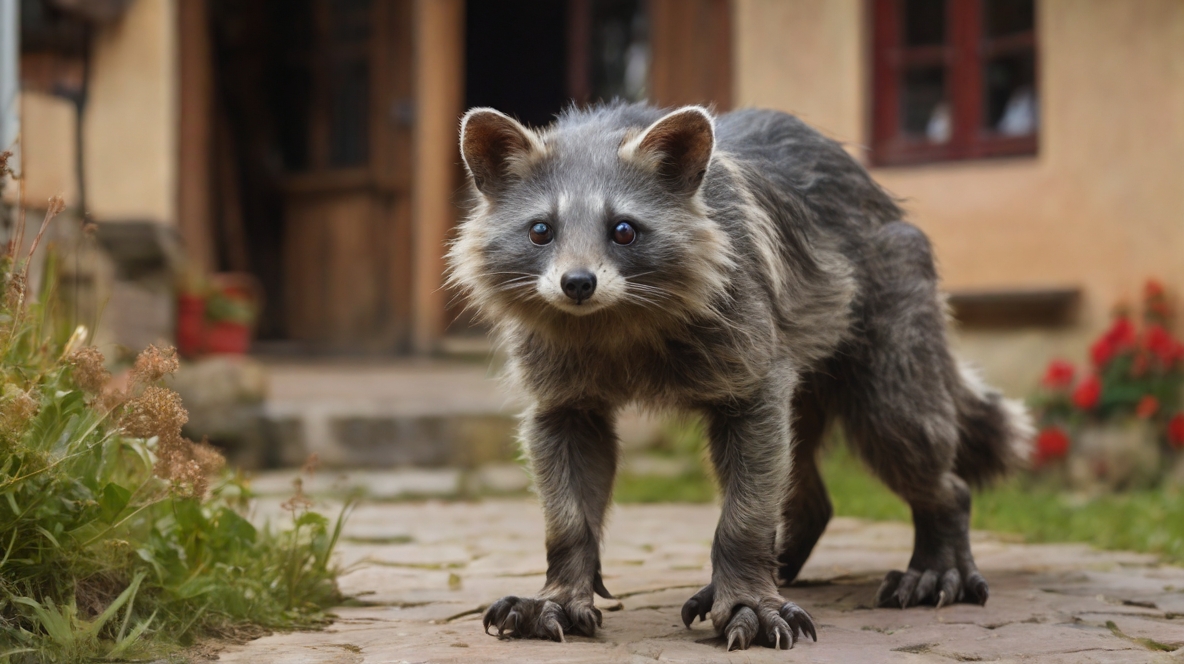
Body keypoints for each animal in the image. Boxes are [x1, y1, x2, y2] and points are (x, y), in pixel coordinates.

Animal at [447, 101, 1032, 648]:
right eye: (540, 231)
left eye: (624, 231)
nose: (577, 283)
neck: (612, 320)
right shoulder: (559, 374)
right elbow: (566, 465)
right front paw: (563, 584)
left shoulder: (744, 315)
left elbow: (751, 469)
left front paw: (747, 587)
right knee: (804, 469)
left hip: (891, 302)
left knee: (902, 431)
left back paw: (938, 532)